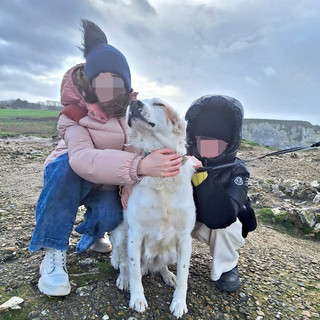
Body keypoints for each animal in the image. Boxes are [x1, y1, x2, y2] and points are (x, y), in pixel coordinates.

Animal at [109, 99, 195, 318]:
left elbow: (184, 274)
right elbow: (134, 271)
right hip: (120, 235)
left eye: (159, 104)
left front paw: (179, 302)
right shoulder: (135, 234)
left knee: (162, 265)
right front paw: (137, 298)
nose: (133, 102)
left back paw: (168, 275)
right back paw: (124, 279)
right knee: (125, 264)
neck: (162, 179)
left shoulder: (184, 237)